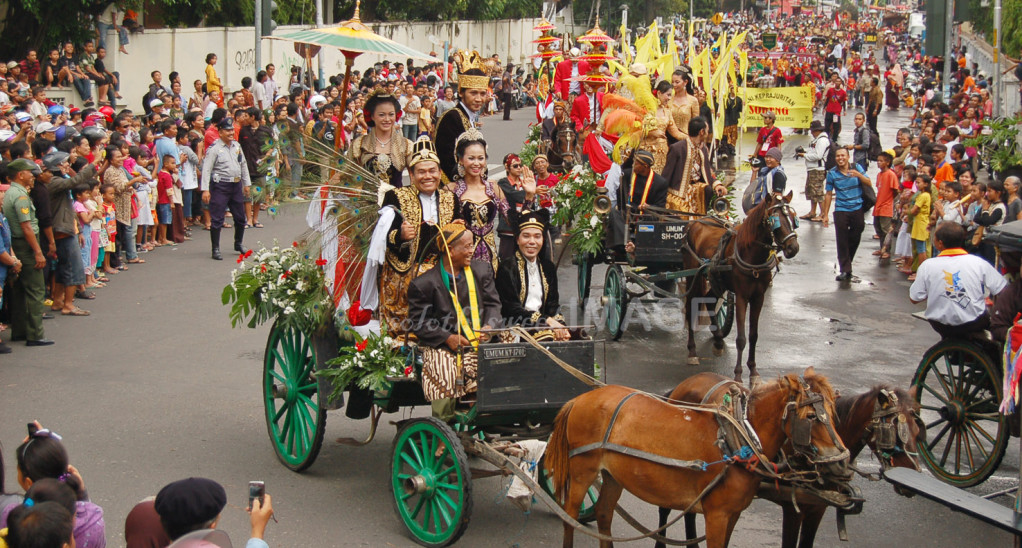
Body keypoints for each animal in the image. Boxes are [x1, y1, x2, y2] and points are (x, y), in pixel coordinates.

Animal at [547, 368, 850, 548]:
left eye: (833, 412)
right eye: (811, 417)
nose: (842, 462)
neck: (739, 437)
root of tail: (579, 399)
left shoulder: (734, 513)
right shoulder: (717, 514)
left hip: (612, 475)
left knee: (603, 514)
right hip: (582, 471)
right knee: (569, 516)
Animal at [658, 378, 932, 548]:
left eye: (919, 429)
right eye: (893, 431)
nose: (912, 477)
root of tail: (683, 384)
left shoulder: (818, 508)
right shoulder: (793, 508)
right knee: (666, 509)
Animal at [682, 192, 801, 384]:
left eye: (793, 217)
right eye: (775, 219)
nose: (793, 248)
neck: (751, 255)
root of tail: (695, 222)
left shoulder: (758, 297)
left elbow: (753, 336)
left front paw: (753, 371)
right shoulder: (741, 297)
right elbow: (741, 338)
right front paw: (738, 375)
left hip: (718, 281)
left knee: (710, 301)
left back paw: (718, 341)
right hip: (692, 274)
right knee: (690, 306)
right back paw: (692, 351)